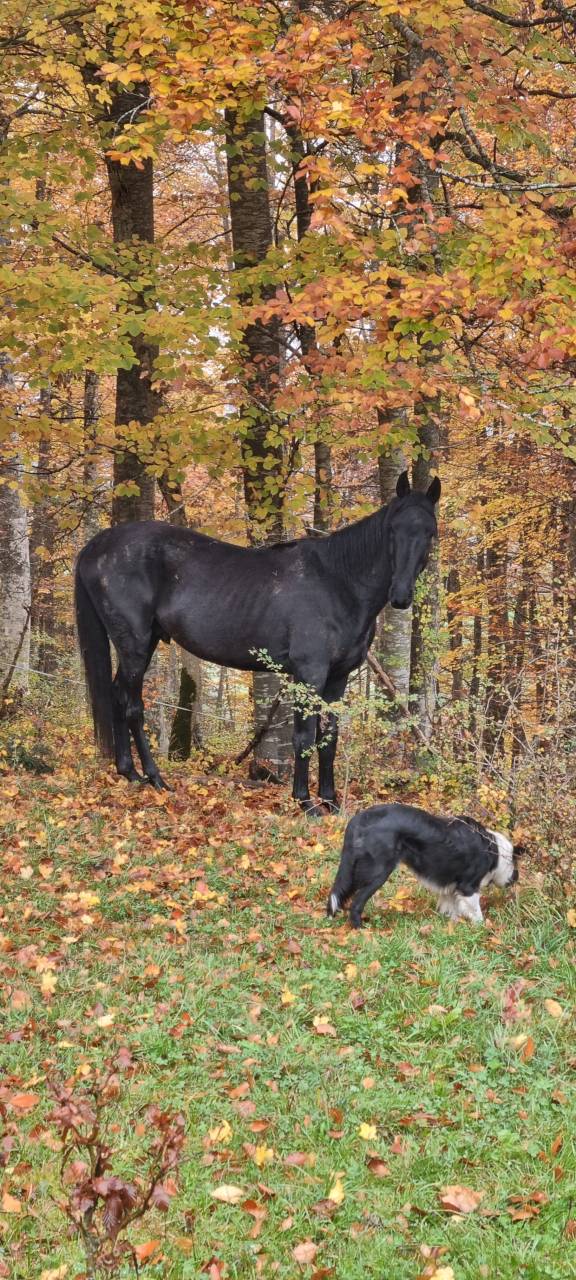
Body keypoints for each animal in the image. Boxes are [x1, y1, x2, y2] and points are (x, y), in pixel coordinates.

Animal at [75, 470, 440, 815]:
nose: (401, 596)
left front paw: (331, 802)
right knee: (133, 706)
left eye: (429, 532)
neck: (338, 582)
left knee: (117, 695)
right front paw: (305, 802)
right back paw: (154, 777)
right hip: (134, 645)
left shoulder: (338, 678)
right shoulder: (309, 674)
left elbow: (329, 738)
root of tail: (98, 545)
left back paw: (129, 773)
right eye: (392, 529)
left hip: (142, 643)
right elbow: (304, 737)